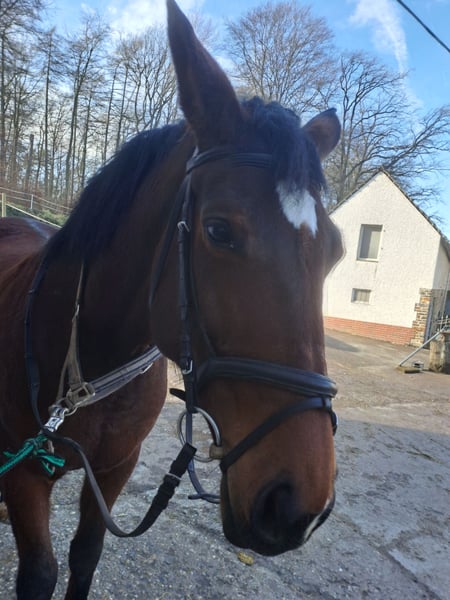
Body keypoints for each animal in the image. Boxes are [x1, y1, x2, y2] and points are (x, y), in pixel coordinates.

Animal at [0, 1, 343, 598]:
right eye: (219, 230)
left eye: (337, 250)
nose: (297, 504)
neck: (88, 373)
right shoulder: (23, 473)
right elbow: (40, 573)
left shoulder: (115, 470)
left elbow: (86, 555)